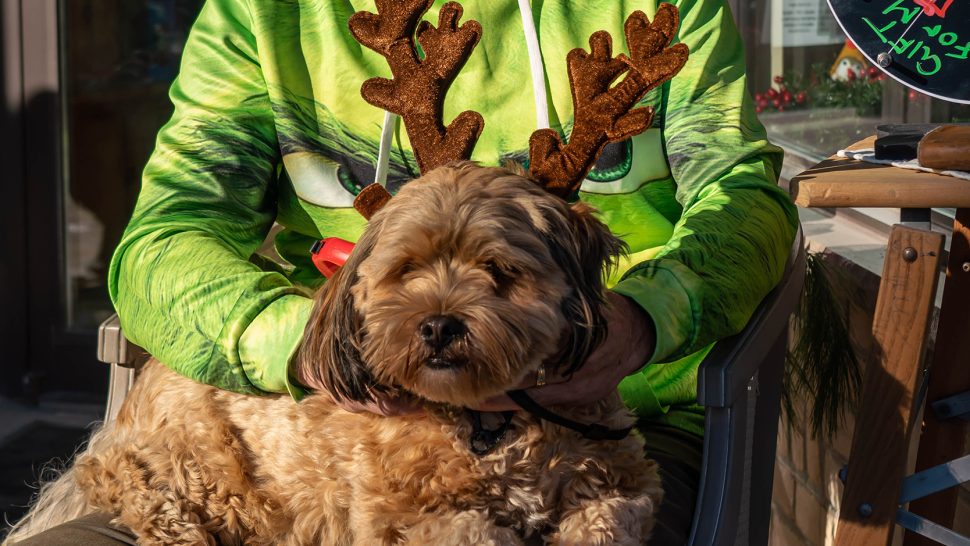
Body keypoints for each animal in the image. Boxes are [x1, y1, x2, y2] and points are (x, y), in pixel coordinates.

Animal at [5, 163, 656, 544]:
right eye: (407, 269)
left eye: (498, 269)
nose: (438, 327)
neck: (485, 420)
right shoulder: (402, 517)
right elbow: (473, 531)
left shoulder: (625, 484)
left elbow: (607, 520)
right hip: (202, 470)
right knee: (130, 483)